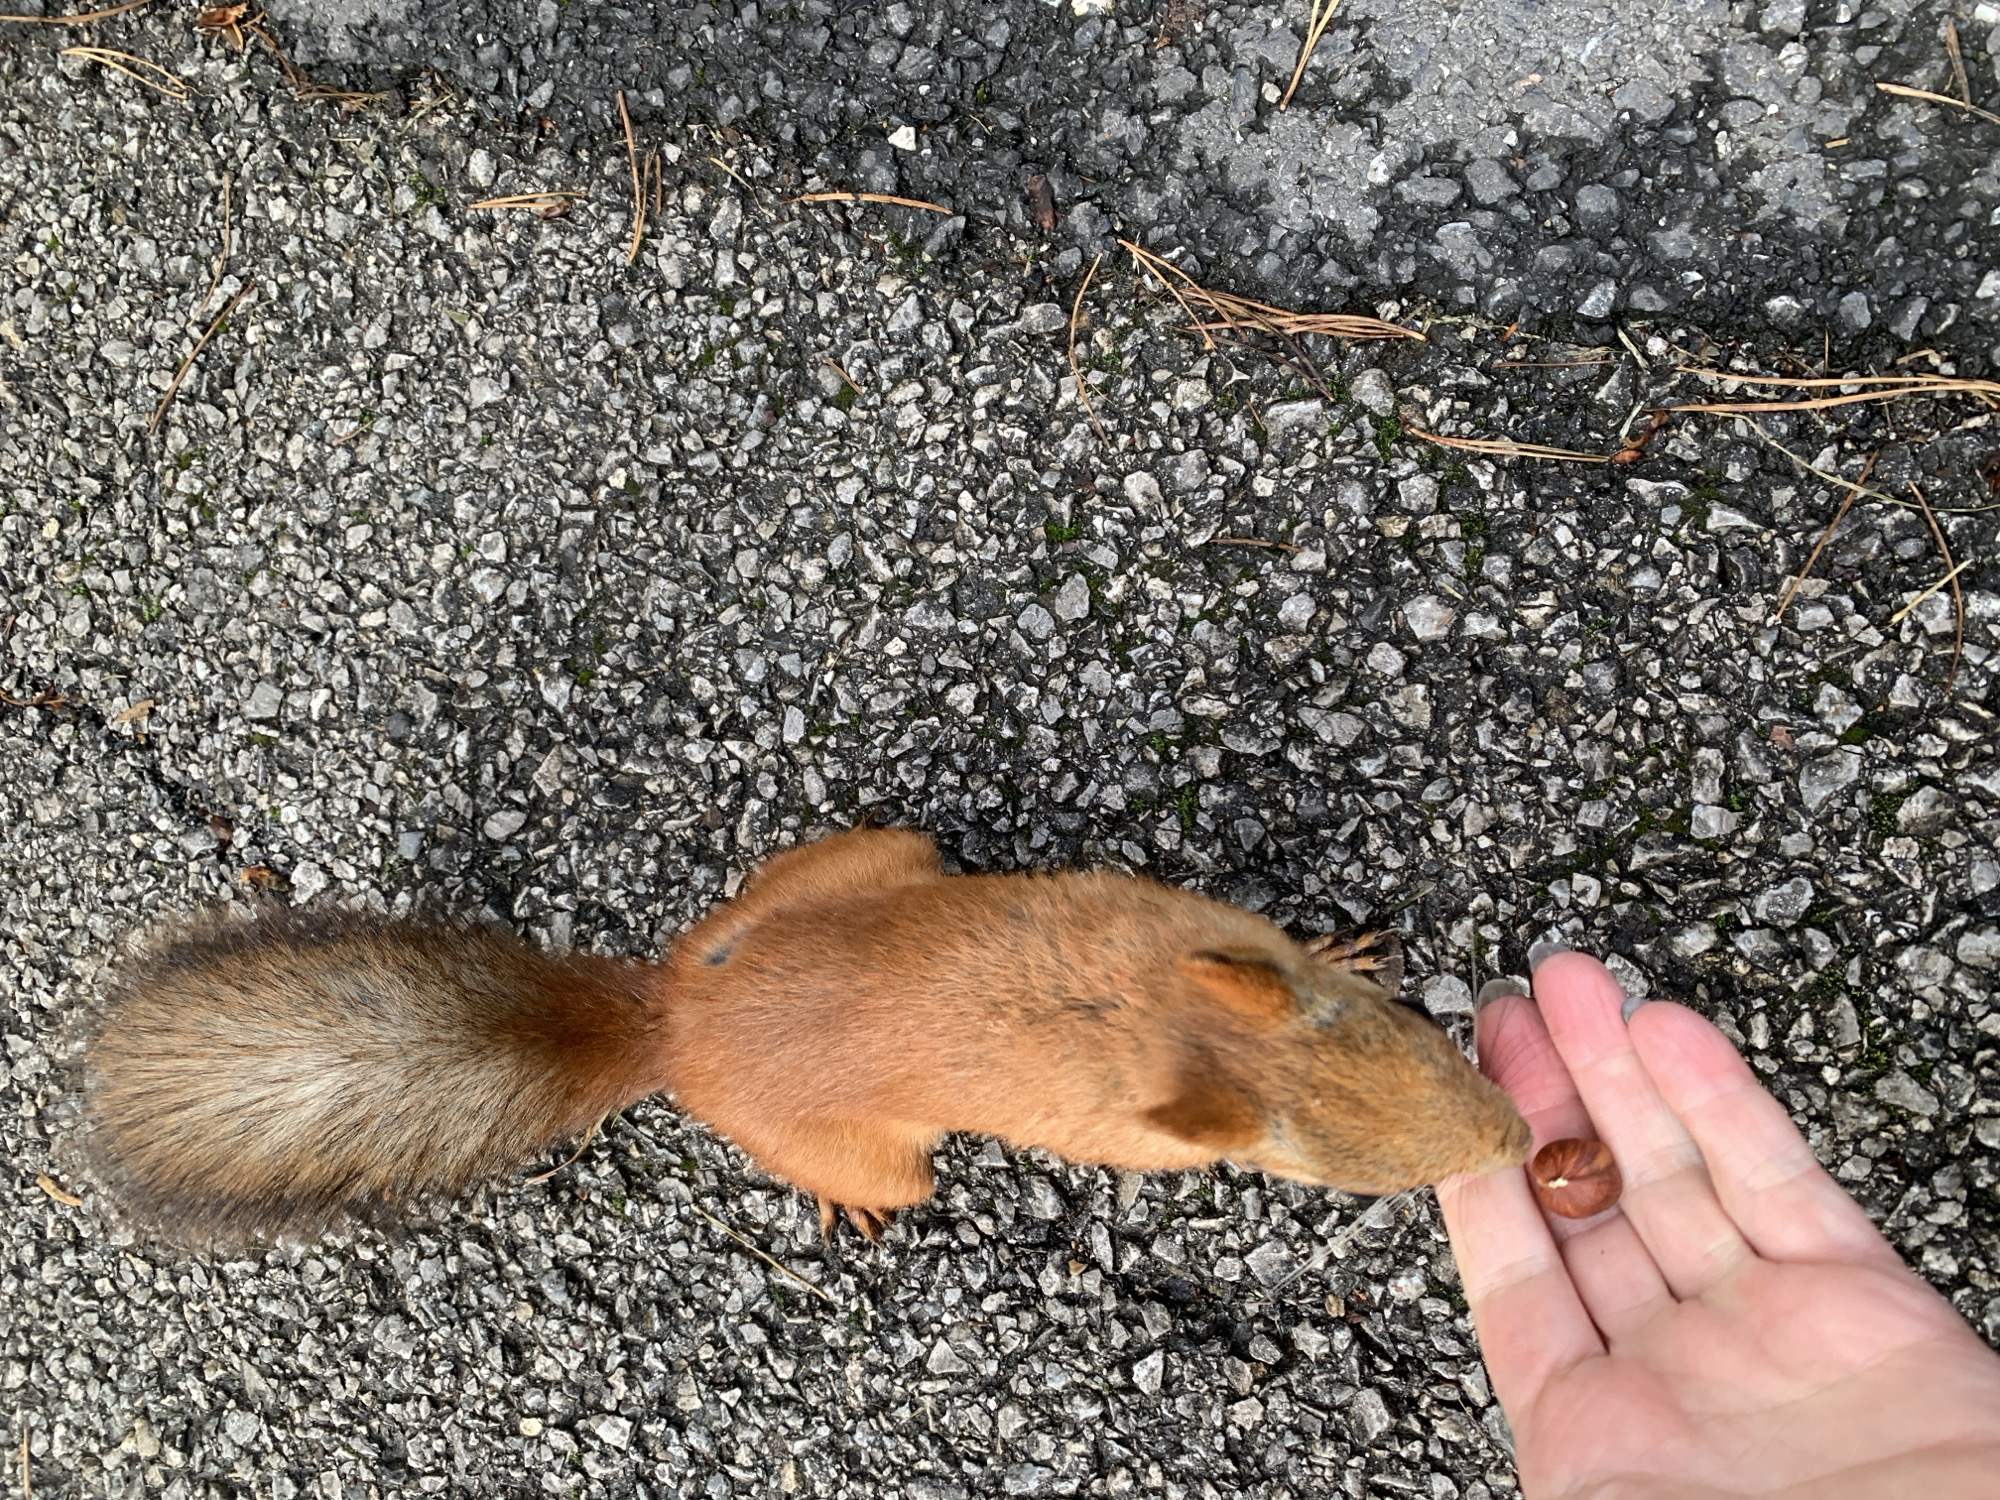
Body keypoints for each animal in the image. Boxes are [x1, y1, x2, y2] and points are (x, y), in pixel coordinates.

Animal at [79, 825, 1531, 1246]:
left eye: (1421, 1036)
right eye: (1359, 1177)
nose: (1517, 1141)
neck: (1167, 1014)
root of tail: (681, 1029)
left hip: (875, 855)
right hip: (874, 1151)